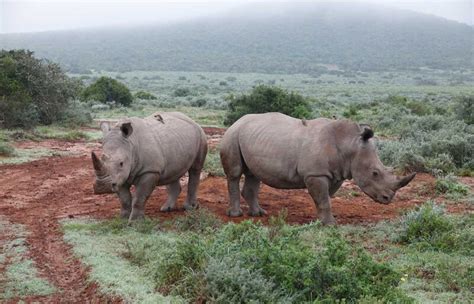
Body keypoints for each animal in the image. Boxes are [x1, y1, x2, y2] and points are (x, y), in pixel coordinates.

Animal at [218, 113, 414, 224]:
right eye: (375, 173)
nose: (388, 199)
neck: (350, 145)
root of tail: (236, 121)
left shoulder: (336, 174)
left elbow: (325, 198)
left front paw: (322, 220)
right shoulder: (315, 174)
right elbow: (323, 199)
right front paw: (330, 224)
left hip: (251, 137)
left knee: (254, 174)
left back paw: (258, 214)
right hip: (232, 135)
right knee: (234, 173)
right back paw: (236, 215)